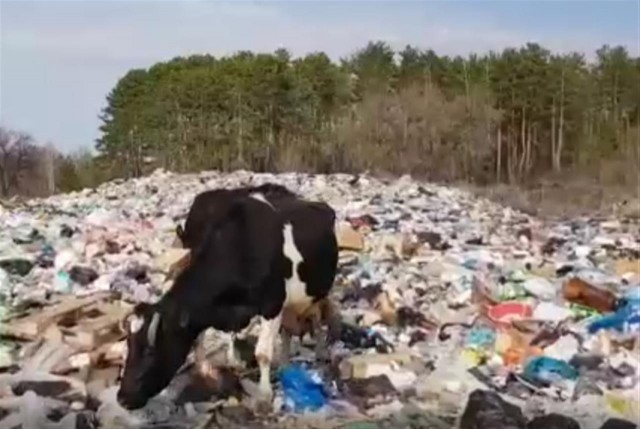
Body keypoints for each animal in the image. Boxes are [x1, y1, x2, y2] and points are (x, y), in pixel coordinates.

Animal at [116, 187, 339, 410]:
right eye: (129, 346)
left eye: (149, 352)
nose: (122, 398)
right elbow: (201, 340)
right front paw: (208, 371)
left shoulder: (272, 304)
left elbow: (262, 353)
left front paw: (264, 395)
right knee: (288, 329)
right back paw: (284, 363)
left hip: (319, 291)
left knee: (317, 317)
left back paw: (321, 352)